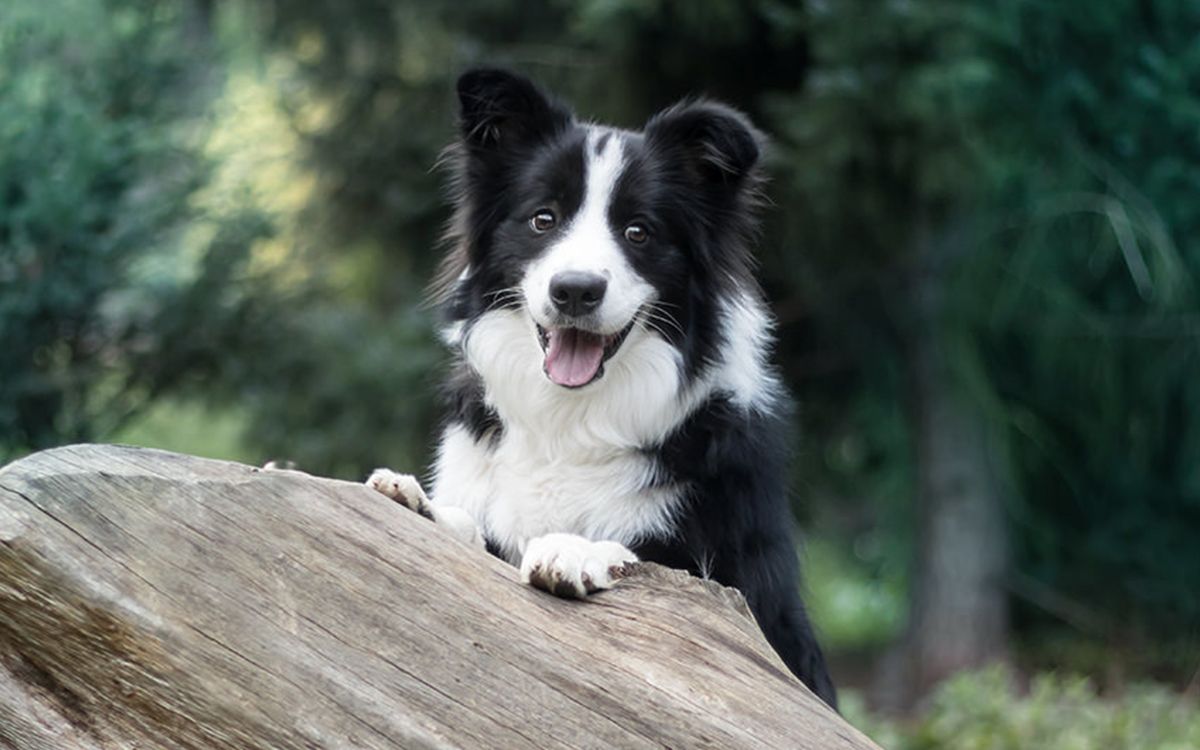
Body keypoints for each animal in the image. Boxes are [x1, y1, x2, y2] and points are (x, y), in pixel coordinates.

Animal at [364, 67, 835, 705]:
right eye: (543, 219)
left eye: (638, 232)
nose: (575, 291)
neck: (569, 417)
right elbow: (473, 530)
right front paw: (415, 501)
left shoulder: (744, 594)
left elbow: (650, 562)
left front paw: (572, 548)